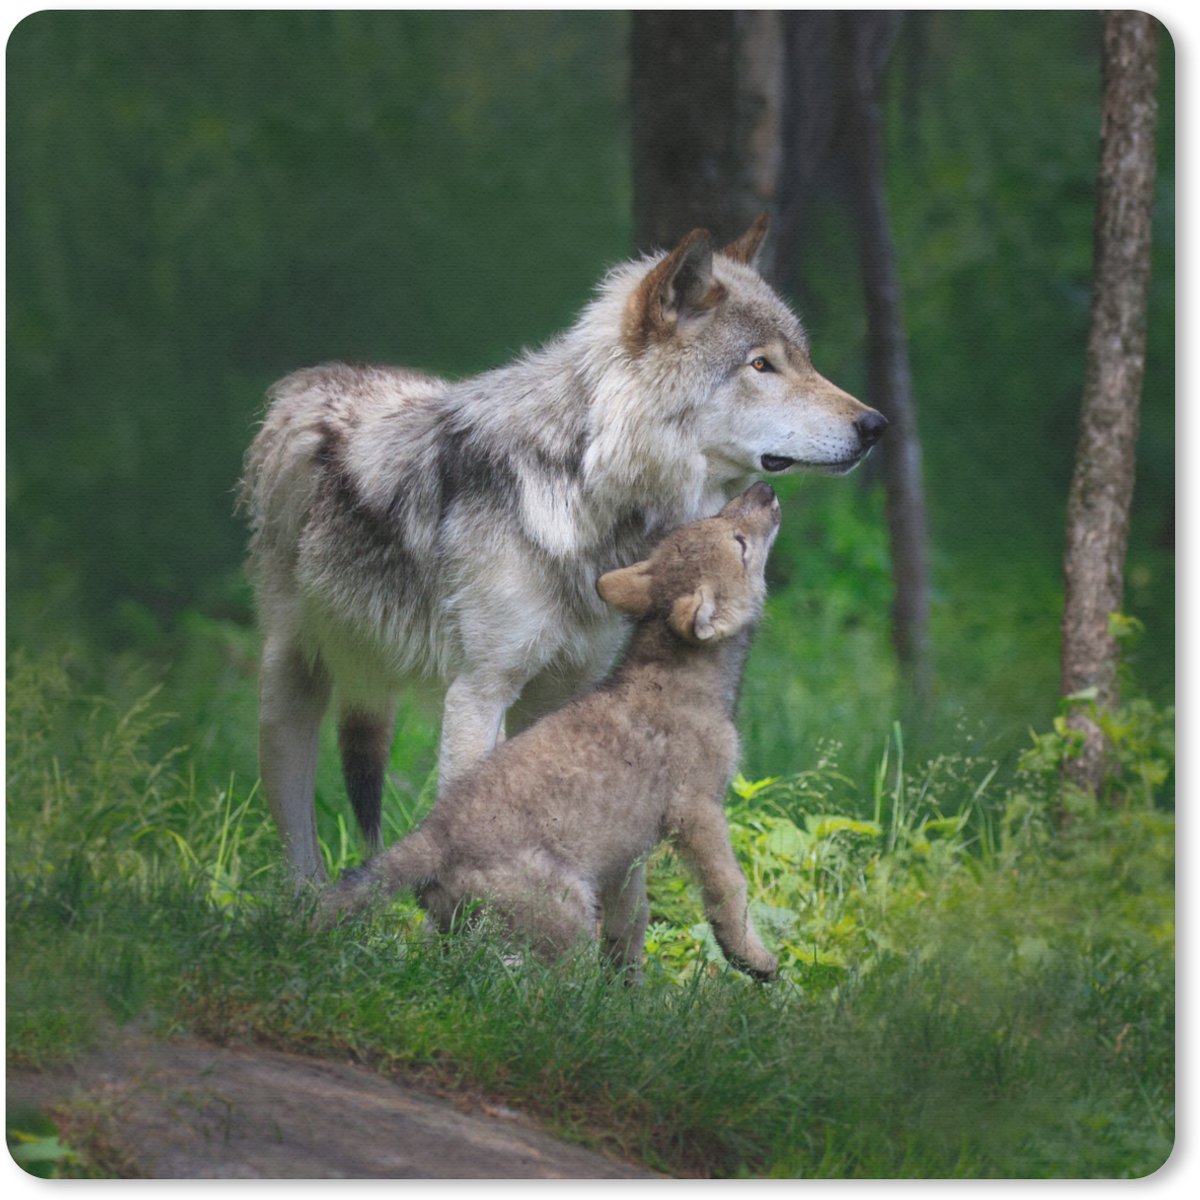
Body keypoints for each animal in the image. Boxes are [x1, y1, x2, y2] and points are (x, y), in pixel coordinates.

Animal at [240, 216, 886, 882]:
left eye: (803, 359)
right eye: (761, 364)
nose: (876, 426)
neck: (585, 488)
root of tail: (314, 379)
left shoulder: (568, 692)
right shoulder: (479, 693)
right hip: (290, 688)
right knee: (297, 831)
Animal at [319, 483, 784, 980]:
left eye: (716, 520)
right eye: (739, 544)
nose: (764, 490)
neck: (680, 675)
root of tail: (433, 835)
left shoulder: (627, 854)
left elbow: (631, 921)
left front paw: (628, 988)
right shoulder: (697, 811)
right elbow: (728, 889)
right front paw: (753, 959)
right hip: (569, 919)